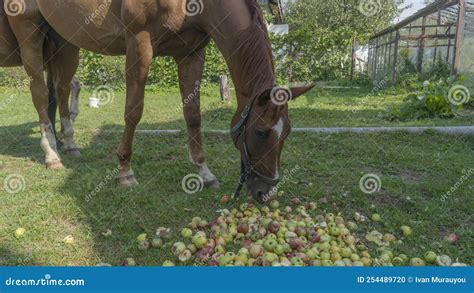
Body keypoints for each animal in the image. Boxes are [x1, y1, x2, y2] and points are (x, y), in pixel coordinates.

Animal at [1, 0, 81, 164]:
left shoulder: (59, 53)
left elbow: (57, 95)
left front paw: (62, 142)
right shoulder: (30, 42)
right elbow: (42, 94)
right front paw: (51, 149)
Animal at [33, 0, 312, 200]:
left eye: (287, 132)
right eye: (261, 132)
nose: (266, 192)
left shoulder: (191, 53)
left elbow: (193, 115)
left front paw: (204, 173)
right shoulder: (139, 45)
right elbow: (133, 111)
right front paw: (125, 172)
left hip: (63, 41)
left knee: (61, 89)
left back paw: (67, 144)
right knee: (40, 93)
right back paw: (51, 154)